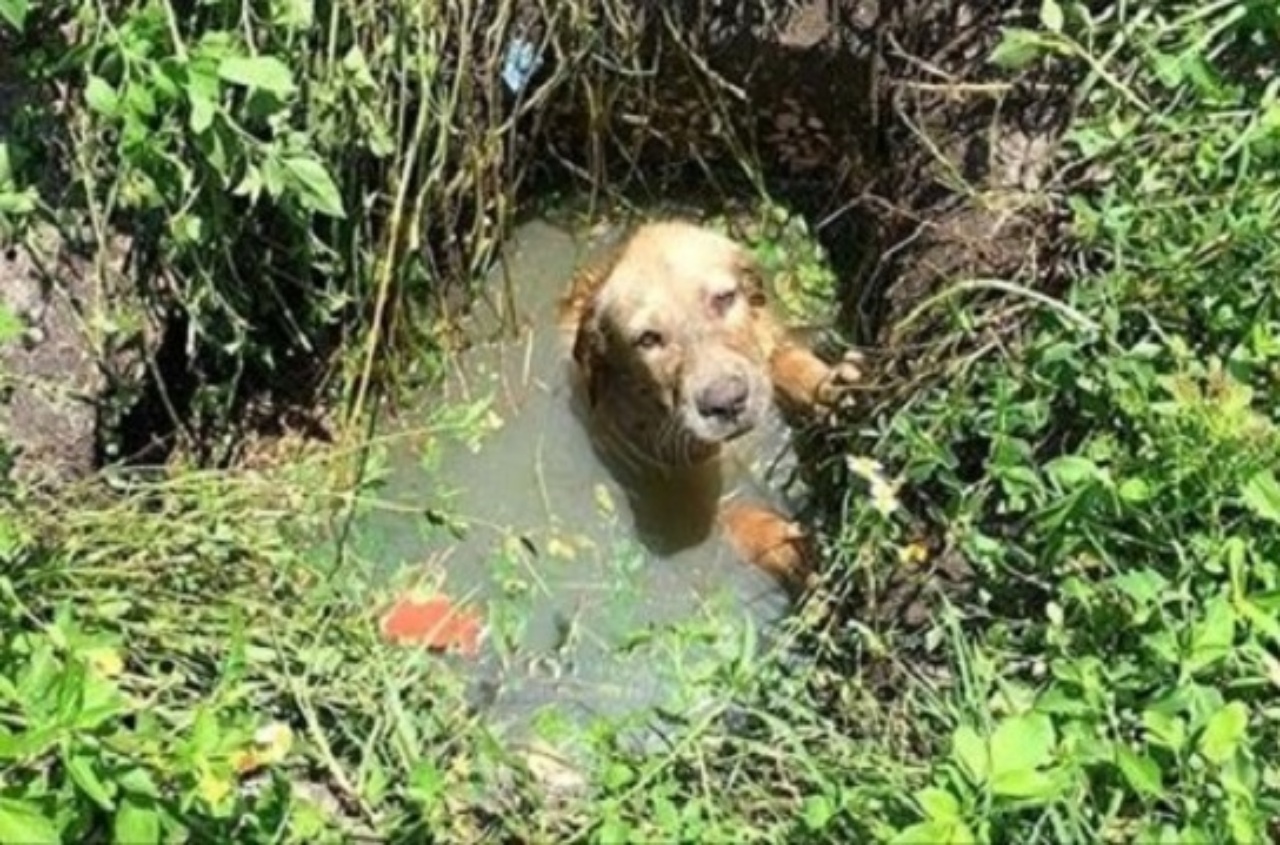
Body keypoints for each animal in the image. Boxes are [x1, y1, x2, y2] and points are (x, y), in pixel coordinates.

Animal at [560, 221, 860, 594]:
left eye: (724, 299)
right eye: (648, 339)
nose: (727, 403)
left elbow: (783, 361)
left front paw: (829, 385)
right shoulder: (677, 490)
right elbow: (733, 514)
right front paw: (790, 547)